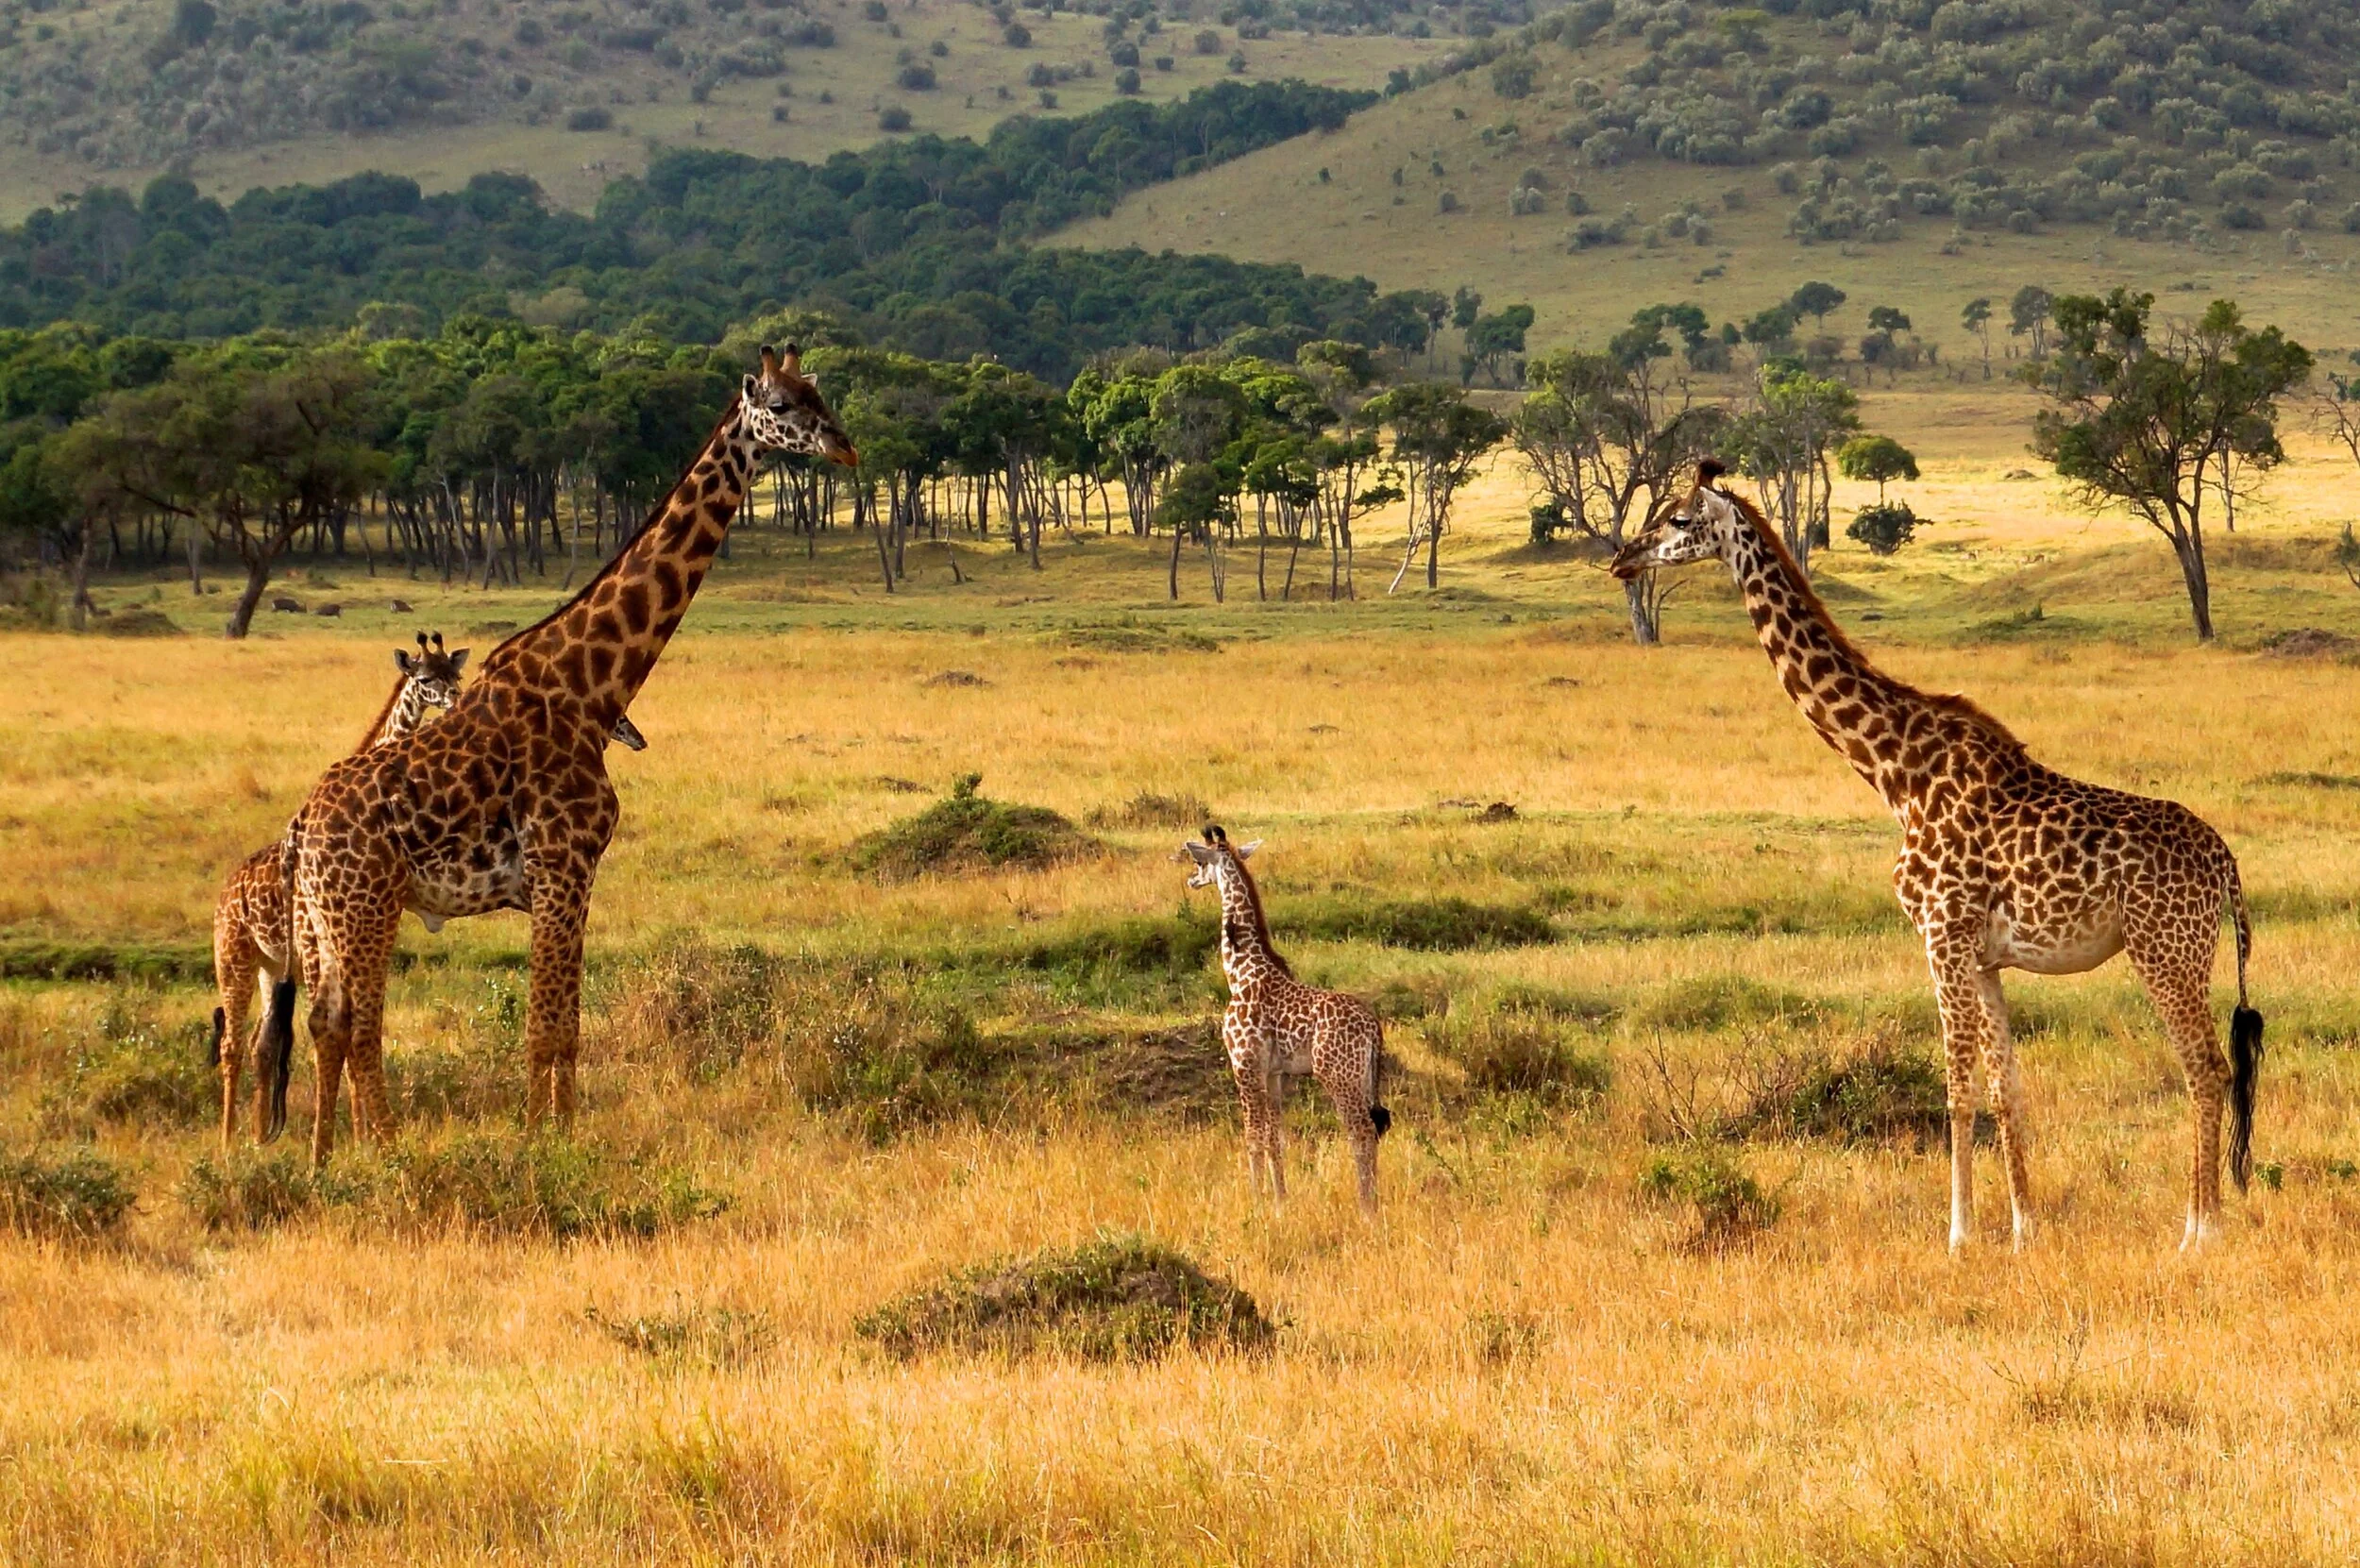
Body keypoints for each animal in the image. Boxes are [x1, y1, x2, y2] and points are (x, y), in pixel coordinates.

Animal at [210, 632, 468, 1150]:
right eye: (424, 678)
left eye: (456, 673)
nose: (454, 698)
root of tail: (225, 894)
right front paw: (362, 1135)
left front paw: (363, 1135)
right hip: (234, 957)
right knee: (232, 1042)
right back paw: (227, 1142)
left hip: (270, 967)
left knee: (261, 1044)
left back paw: (257, 1136)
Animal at [286, 345, 855, 1165]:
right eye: (779, 405)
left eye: (820, 393)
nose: (845, 447)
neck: (589, 688)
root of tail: (301, 828)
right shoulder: (560, 866)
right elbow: (542, 1027)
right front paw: (537, 1144)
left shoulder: (579, 876)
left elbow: (569, 1028)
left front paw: (564, 1133)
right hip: (364, 907)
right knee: (360, 1025)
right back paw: (386, 1151)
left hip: (327, 916)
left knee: (326, 1021)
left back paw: (326, 1156)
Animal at [1183, 825, 1390, 1213]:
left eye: (1197, 861)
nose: (1191, 880)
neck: (1240, 972)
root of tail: (1374, 1028)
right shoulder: (1276, 1074)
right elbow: (1275, 1138)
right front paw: (1281, 1200)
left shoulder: (1244, 1064)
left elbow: (1252, 1135)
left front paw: (1255, 1201)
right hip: (1363, 1076)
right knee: (1372, 1129)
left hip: (1338, 1076)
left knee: (1361, 1132)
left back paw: (1367, 1208)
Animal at [1609, 460, 2262, 1252]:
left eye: (1677, 518)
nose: (1622, 558)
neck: (1895, 773)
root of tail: (2226, 865)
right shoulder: (1983, 957)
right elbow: (2007, 1089)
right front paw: (2024, 1231)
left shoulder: (1940, 936)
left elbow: (1956, 1089)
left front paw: (1959, 1236)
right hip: (2181, 952)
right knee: (2208, 1067)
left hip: (2164, 949)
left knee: (2207, 1067)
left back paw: (2201, 1231)